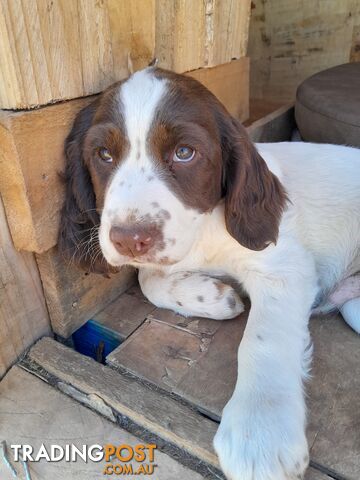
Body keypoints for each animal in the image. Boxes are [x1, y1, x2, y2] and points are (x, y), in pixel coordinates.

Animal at [59, 64, 360, 480]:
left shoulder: (284, 266)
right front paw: (217, 298)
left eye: (184, 153)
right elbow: (147, 279)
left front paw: (259, 433)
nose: (129, 240)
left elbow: (263, 340)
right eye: (103, 154)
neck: (203, 232)